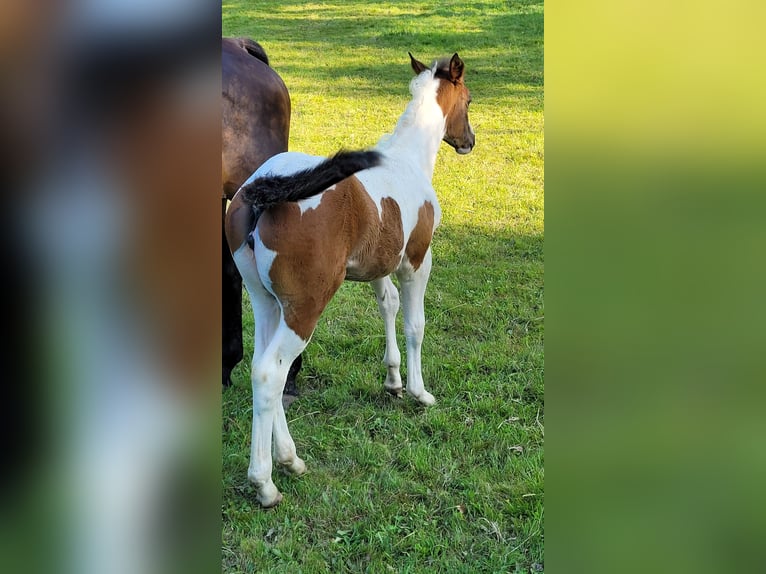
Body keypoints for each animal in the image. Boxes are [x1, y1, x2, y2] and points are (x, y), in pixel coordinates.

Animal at [225, 51, 474, 506]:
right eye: (468, 100)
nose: (469, 141)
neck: (407, 160)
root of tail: (264, 186)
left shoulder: (379, 266)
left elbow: (387, 306)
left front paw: (393, 381)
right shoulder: (417, 263)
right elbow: (415, 326)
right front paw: (419, 392)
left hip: (267, 302)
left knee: (261, 368)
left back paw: (291, 460)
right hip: (304, 307)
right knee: (271, 373)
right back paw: (266, 483)